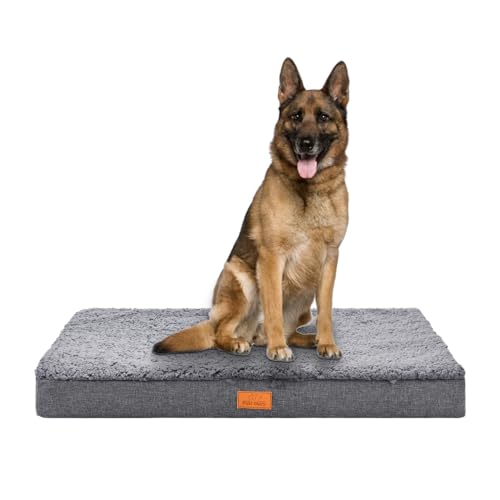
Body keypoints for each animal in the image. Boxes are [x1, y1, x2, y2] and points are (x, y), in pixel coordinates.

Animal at [153, 58, 349, 362]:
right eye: (296, 116)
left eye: (323, 118)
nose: (305, 144)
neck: (310, 189)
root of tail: (252, 334)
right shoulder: (271, 258)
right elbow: (274, 308)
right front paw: (277, 348)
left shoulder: (330, 259)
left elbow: (326, 311)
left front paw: (327, 342)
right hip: (240, 277)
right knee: (220, 332)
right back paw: (240, 342)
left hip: (305, 298)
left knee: (290, 328)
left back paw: (308, 339)